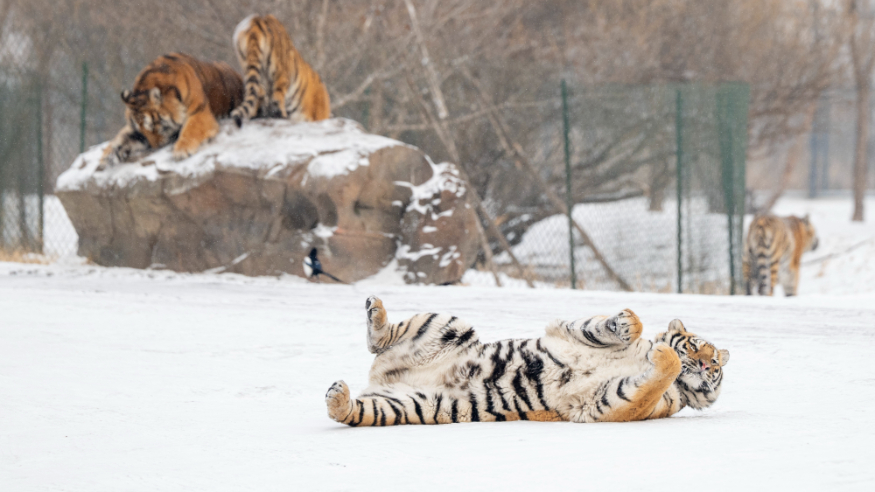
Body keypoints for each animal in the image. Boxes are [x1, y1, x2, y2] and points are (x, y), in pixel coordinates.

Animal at [99, 53, 244, 169]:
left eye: (153, 126)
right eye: (142, 131)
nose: (153, 147)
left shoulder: (199, 112)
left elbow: (190, 130)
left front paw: (181, 151)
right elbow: (121, 137)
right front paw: (106, 157)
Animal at [325, 296, 730, 426]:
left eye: (715, 367)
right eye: (696, 346)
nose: (706, 364)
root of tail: (380, 376)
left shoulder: (612, 403)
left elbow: (654, 377)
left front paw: (661, 354)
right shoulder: (569, 330)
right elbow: (605, 327)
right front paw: (628, 322)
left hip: (410, 404)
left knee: (354, 410)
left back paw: (337, 396)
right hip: (448, 324)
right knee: (378, 340)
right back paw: (375, 309)